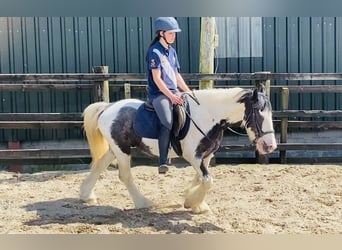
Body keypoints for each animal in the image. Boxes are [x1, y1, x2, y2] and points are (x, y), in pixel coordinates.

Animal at [80, 85, 278, 213]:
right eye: (258, 113)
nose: (270, 146)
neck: (208, 117)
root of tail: (108, 107)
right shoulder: (193, 156)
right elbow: (208, 180)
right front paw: (192, 203)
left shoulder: (206, 155)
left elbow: (200, 178)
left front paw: (193, 200)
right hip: (122, 150)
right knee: (125, 176)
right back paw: (143, 202)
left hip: (116, 148)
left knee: (99, 166)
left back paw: (87, 195)